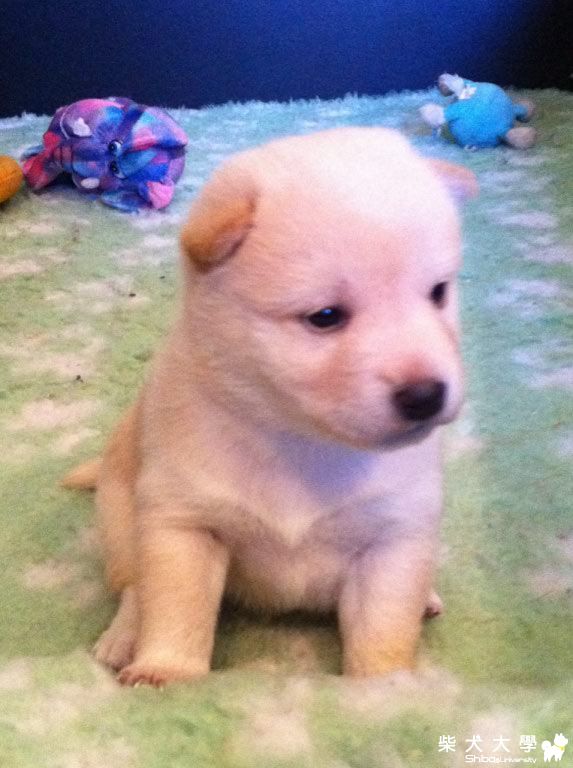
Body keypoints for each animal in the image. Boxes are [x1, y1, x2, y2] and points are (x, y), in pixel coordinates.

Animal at [63, 127, 477, 686]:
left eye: (438, 293)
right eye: (325, 316)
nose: (426, 395)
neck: (300, 440)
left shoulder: (394, 538)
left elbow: (383, 630)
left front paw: (382, 689)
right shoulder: (184, 524)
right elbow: (175, 608)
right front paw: (166, 673)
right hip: (121, 520)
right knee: (133, 587)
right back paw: (122, 637)